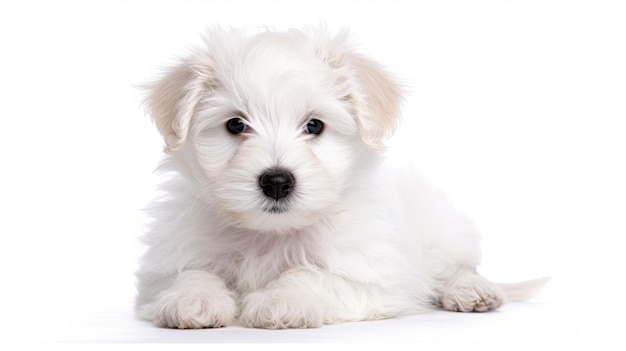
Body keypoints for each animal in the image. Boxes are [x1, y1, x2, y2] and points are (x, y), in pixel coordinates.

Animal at [134, 26, 544, 330]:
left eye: (314, 125)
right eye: (235, 124)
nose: (277, 182)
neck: (270, 235)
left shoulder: (368, 276)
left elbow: (313, 276)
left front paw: (281, 300)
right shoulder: (166, 265)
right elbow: (189, 274)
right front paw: (193, 300)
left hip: (439, 225)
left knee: (457, 265)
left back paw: (472, 291)